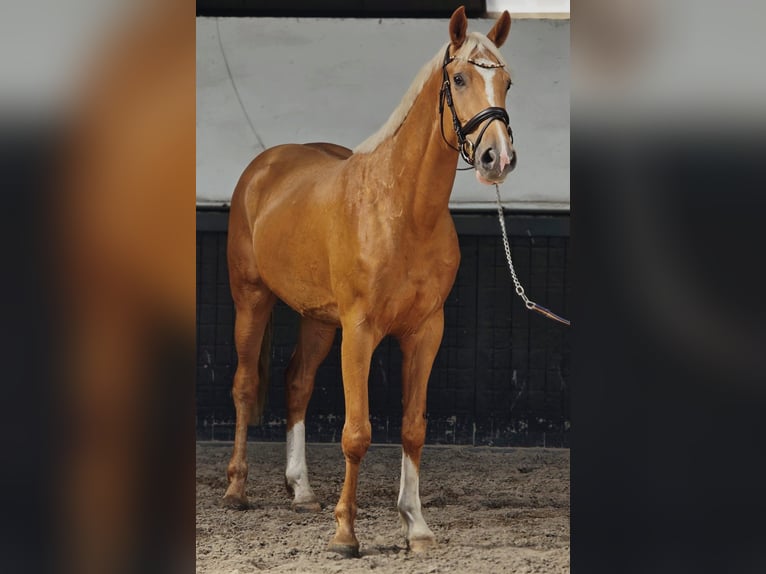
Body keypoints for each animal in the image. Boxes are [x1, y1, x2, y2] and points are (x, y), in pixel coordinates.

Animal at [223, 6, 516, 557]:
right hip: (252, 301)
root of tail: (263, 166)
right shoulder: (359, 332)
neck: (403, 209)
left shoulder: (425, 332)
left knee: (297, 384)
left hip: (318, 321)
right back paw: (235, 489)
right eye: (460, 79)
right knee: (246, 387)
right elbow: (356, 432)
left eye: (508, 81)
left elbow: (413, 428)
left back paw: (302, 492)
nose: (498, 158)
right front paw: (345, 534)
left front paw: (416, 525)